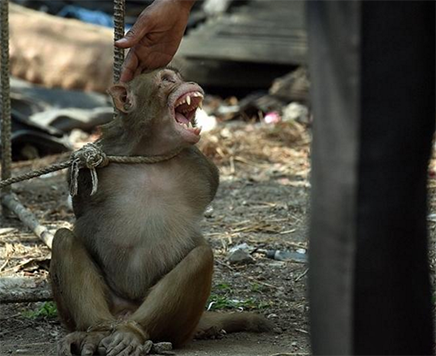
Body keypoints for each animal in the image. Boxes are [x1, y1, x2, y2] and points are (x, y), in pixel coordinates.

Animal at [49, 67, 270, 356]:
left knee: (201, 257)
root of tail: (124, 313)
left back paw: (134, 333)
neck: (150, 152)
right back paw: (95, 331)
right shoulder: (94, 163)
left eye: (180, 76)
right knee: (63, 240)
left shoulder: (203, 167)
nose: (190, 82)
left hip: (179, 327)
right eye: (166, 80)